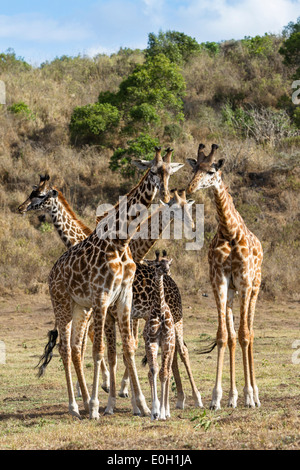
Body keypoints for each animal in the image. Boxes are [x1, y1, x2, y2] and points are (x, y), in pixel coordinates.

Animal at [46, 148, 184, 418]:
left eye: (169, 172)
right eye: (153, 170)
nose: (163, 194)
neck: (121, 242)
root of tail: (52, 271)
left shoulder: (123, 298)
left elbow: (128, 348)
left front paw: (142, 404)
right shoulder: (102, 298)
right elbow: (100, 350)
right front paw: (97, 407)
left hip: (80, 308)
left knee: (75, 348)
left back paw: (83, 402)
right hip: (62, 304)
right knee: (65, 349)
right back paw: (76, 407)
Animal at [186, 141, 264, 410]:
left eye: (211, 171)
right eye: (194, 169)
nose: (189, 189)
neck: (229, 231)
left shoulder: (244, 282)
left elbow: (244, 335)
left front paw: (249, 396)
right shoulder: (219, 281)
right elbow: (223, 336)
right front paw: (217, 398)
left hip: (254, 289)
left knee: (250, 334)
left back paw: (255, 395)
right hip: (232, 293)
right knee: (232, 336)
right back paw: (233, 397)